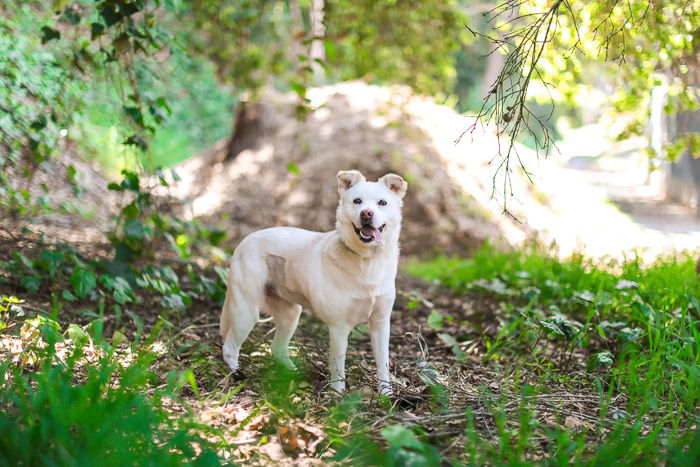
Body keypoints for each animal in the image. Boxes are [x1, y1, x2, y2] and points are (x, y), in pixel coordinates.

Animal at [217, 169, 404, 394]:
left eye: (382, 203)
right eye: (357, 201)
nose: (366, 213)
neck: (367, 261)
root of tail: (245, 241)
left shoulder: (380, 323)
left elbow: (383, 362)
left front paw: (386, 393)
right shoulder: (339, 327)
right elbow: (338, 364)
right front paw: (338, 394)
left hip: (290, 315)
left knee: (277, 348)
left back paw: (294, 374)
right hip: (246, 310)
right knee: (229, 347)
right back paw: (236, 374)